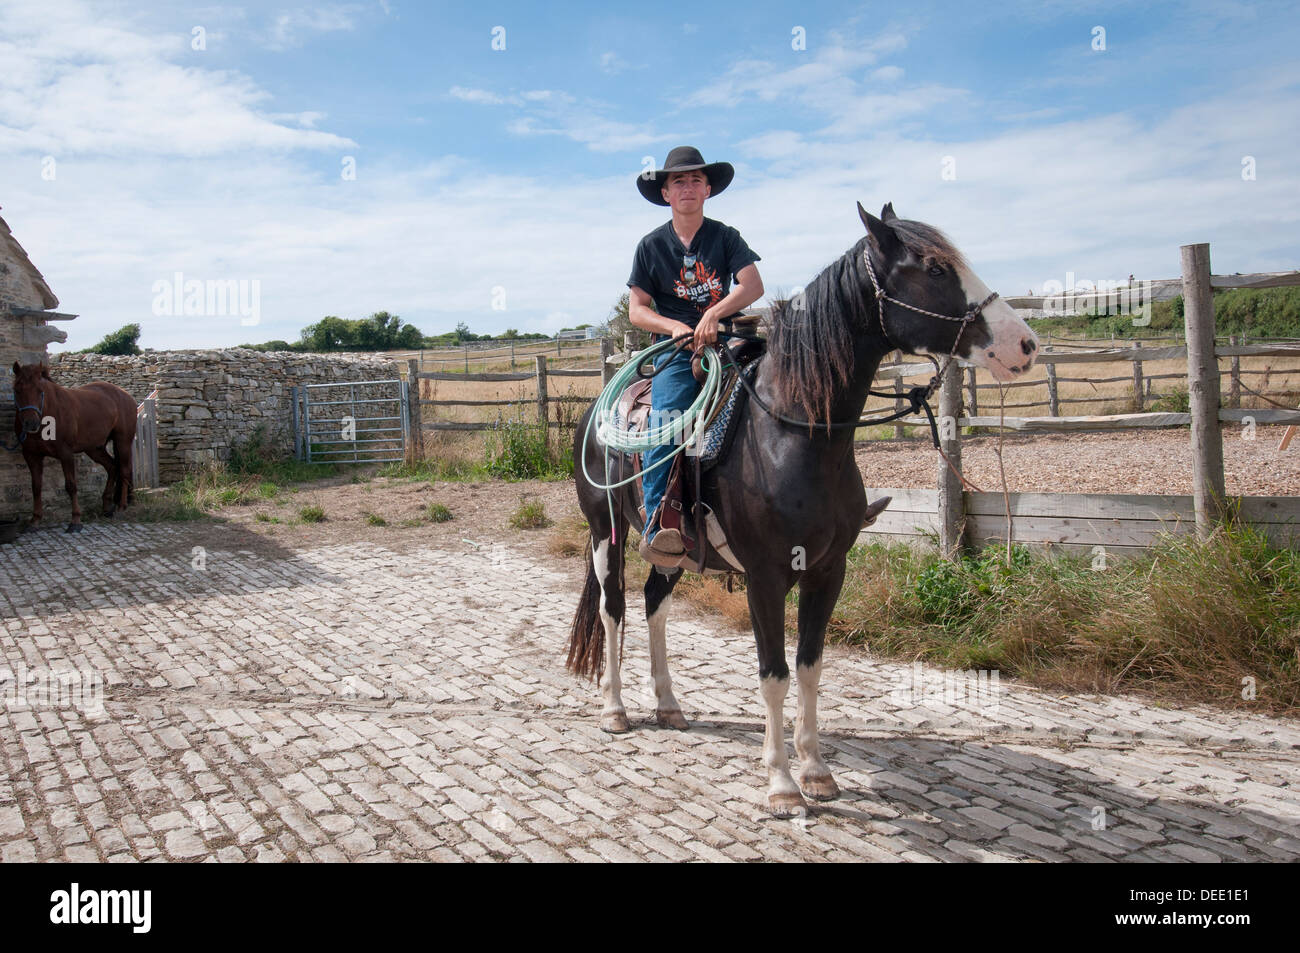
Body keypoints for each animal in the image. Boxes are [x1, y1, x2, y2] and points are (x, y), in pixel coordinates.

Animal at [9, 361, 137, 530]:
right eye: (17, 390)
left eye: (40, 391)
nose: (31, 423)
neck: (49, 414)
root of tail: (126, 395)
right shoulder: (32, 455)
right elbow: (36, 486)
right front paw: (35, 520)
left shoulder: (66, 454)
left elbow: (71, 485)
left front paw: (75, 520)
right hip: (94, 448)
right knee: (112, 467)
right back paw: (106, 507)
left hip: (123, 442)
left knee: (124, 470)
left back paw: (121, 506)